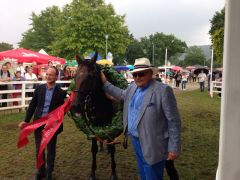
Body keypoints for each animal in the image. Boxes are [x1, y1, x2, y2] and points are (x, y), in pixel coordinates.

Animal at [71, 52, 119, 180]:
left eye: (91, 76)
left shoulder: (111, 123)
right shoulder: (92, 125)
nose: (76, 106)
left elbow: (113, 148)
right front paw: (92, 173)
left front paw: (113, 172)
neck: (100, 102)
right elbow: (93, 149)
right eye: (75, 75)